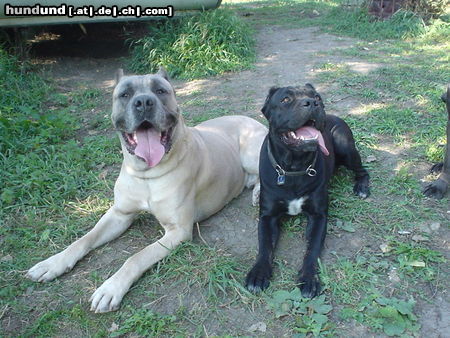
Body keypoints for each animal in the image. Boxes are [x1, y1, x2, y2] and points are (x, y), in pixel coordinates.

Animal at [246, 85, 370, 298]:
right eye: (285, 99)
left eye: (317, 96)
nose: (313, 103)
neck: (294, 167)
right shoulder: (267, 216)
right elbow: (264, 246)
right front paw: (258, 274)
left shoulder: (318, 216)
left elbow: (312, 250)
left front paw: (309, 278)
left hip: (345, 147)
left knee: (363, 170)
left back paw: (362, 187)